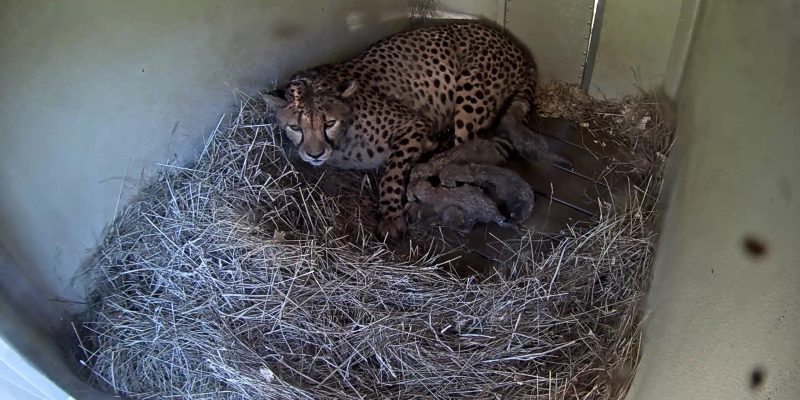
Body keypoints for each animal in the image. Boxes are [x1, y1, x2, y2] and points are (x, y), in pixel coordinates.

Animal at [263, 22, 564, 239]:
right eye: (295, 127)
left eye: (328, 123)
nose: (314, 154)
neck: (342, 141)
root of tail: (517, 47)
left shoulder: (413, 124)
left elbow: (392, 171)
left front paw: (391, 216)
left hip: (469, 90)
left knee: (465, 147)